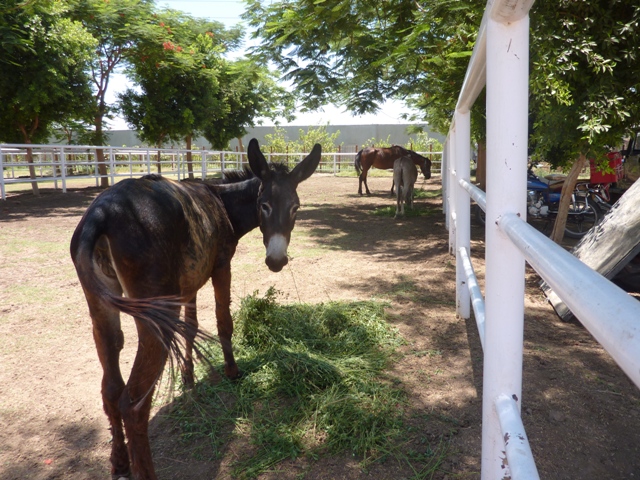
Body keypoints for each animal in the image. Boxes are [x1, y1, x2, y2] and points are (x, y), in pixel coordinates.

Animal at [70, 137, 320, 478]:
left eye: (296, 208)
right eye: (264, 205)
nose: (276, 261)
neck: (221, 202)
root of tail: (102, 213)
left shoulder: (188, 284)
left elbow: (190, 327)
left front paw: (188, 379)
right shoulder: (221, 266)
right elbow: (223, 319)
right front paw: (231, 371)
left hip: (101, 307)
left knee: (110, 389)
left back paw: (120, 463)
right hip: (155, 313)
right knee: (133, 402)